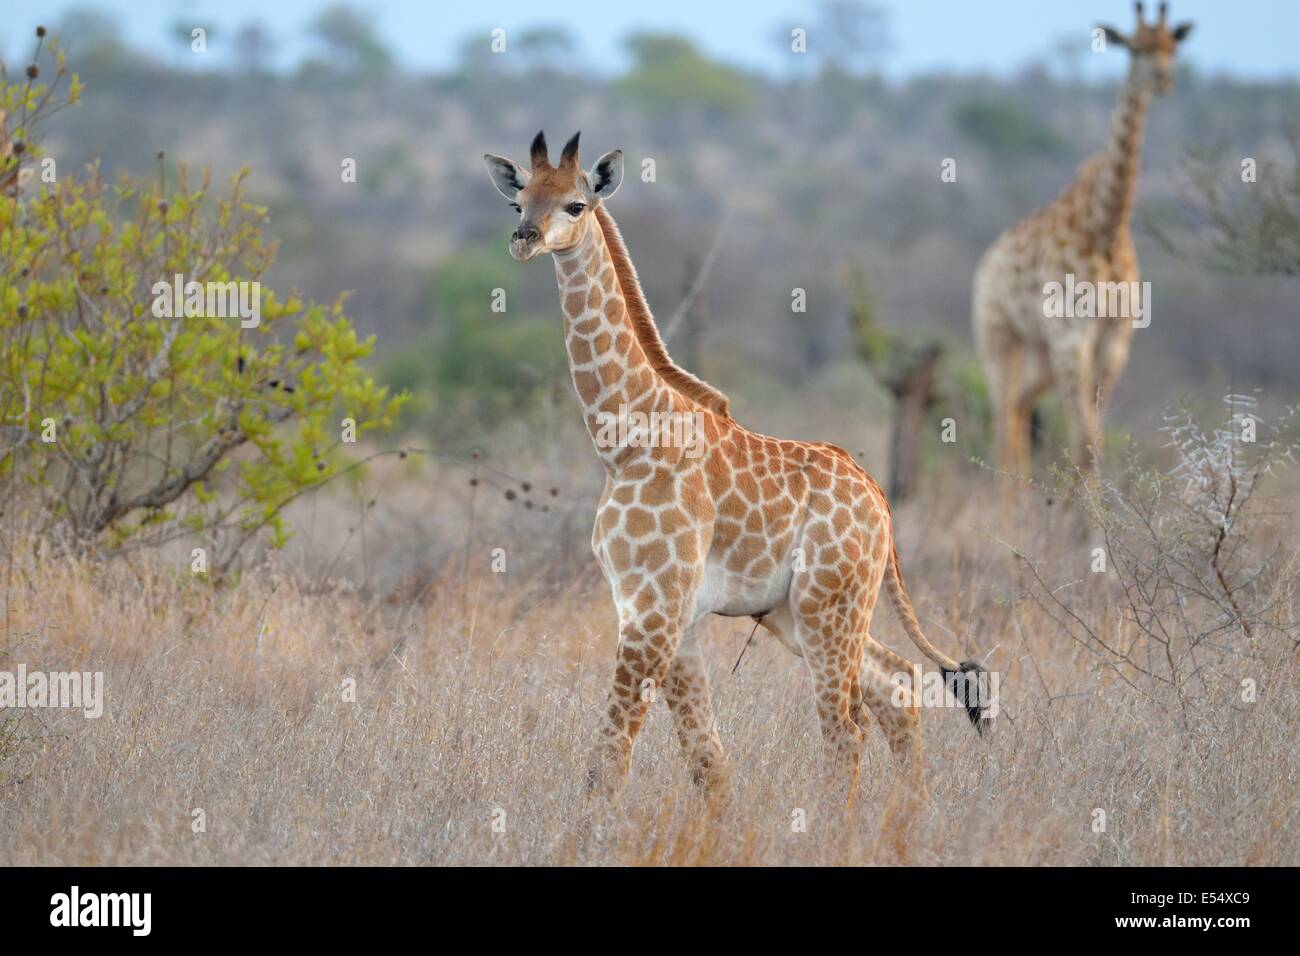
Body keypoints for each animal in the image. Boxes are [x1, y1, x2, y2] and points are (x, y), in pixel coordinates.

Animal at [486, 128, 982, 801]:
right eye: (519, 202)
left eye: (575, 204)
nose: (524, 239)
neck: (624, 442)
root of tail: (878, 497)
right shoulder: (664, 611)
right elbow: (707, 760)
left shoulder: (655, 608)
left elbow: (608, 760)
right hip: (800, 612)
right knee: (898, 686)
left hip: (829, 604)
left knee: (846, 729)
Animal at [972, 2, 1190, 476]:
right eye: (1135, 49)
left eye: (1171, 48)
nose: (1164, 79)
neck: (1105, 226)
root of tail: (988, 261)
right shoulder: (1072, 334)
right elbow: (1086, 440)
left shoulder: (1114, 339)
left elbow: (1090, 442)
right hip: (999, 334)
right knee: (1002, 419)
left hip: (1041, 347)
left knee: (1020, 409)